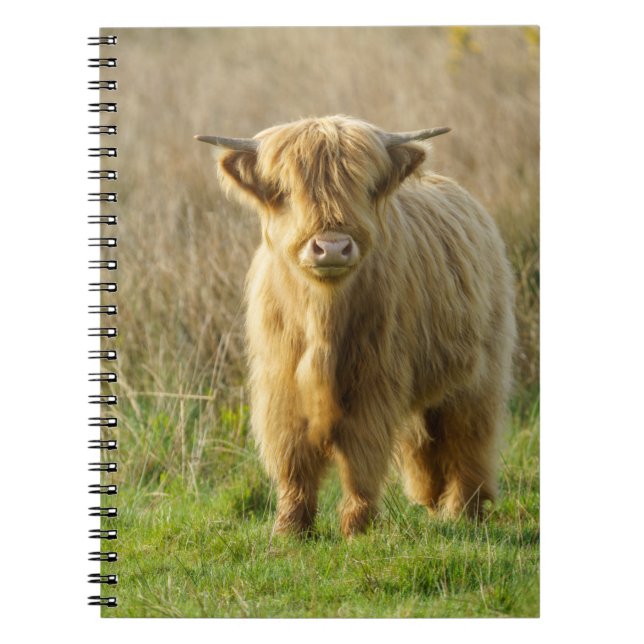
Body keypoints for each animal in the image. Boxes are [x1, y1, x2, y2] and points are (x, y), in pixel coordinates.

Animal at [195, 115, 516, 537]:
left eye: (365, 187)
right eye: (285, 191)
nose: (331, 247)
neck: (323, 317)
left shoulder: (374, 383)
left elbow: (362, 456)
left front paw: (356, 528)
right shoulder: (281, 385)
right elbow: (292, 457)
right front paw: (290, 529)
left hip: (480, 375)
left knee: (469, 436)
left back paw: (464, 511)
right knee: (424, 441)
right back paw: (432, 503)